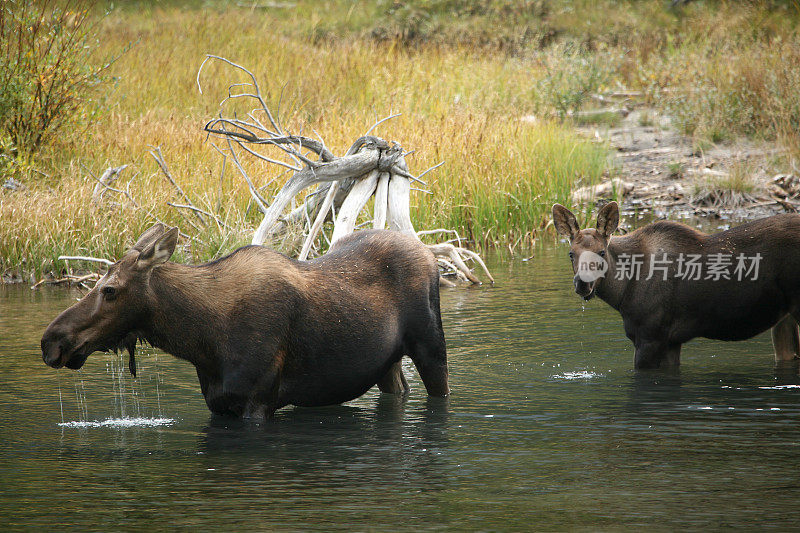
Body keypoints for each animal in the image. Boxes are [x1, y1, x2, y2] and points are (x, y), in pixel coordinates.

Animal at [42, 222, 450, 418]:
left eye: (110, 289)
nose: (52, 341)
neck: (200, 341)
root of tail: (430, 253)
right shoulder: (219, 404)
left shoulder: (257, 400)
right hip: (386, 365)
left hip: (432, 346)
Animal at [552, 202, 800, 368]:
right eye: (571, 254)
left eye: (602, 252)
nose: (583, 284)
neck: (622, 293)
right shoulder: (670, 341)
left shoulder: (650, 336)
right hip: (784, 316)